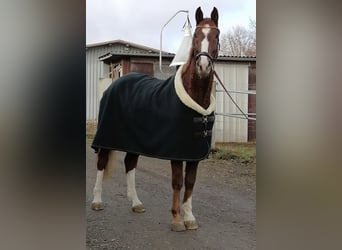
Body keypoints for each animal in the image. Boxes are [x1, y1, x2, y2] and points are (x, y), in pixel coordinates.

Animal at [91, 6, 219, 232]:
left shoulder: (194, 154)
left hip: (133, 142)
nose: (203, 67)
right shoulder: (177, 153)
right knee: (101, 163)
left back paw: (136, 203)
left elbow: (190, 182)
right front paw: (176, 220)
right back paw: (97, 201)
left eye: (217, 35)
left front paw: (189, 218)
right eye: (195, 35)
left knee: (129, 164)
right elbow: (178, 182)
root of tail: (115, 84)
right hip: (106, 137)